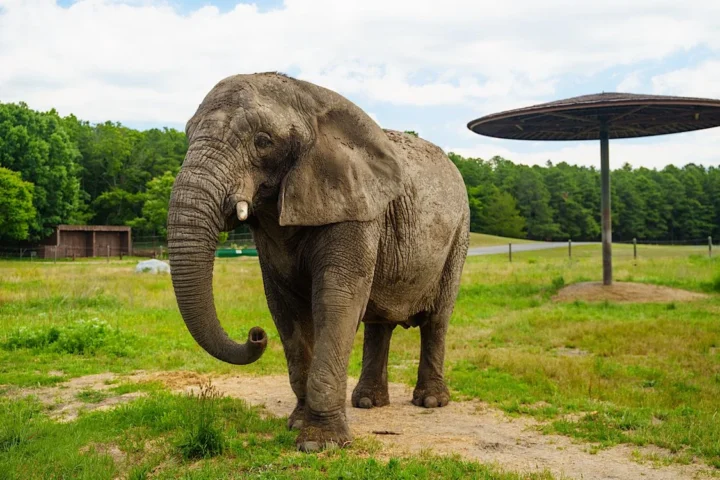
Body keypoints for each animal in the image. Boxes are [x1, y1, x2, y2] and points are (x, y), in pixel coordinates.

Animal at [167, 72, 470, 452]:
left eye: (263, 142)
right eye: (188, 135)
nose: (255, 335)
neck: (308, 97)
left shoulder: (357, 210)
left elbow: (336, 300)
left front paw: (318, 444)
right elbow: (285, 309)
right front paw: (297, 424)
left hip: (459, 234)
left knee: (437, 319)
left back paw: (429, 401)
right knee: (379, 322)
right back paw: (367, 402)